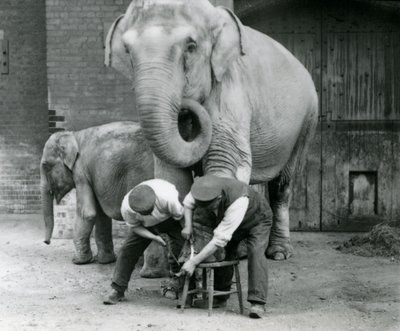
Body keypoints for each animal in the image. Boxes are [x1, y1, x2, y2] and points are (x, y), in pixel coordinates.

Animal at [40, 123, 153, 266]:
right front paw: (105, 260)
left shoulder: (81, 172)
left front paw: (78, 261)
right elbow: (101, 215)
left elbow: (88, 213)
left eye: (45, 166)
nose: (46, 242)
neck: (74, 135)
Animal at [104, 0, 318, 260]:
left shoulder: (230, 89)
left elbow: (224, 160)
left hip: (306, 123)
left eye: (191, 46)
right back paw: (242, 251)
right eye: (127, 50)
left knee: (282, 185)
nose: (185, 106)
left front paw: (206, 255)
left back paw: (278, 253)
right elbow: (172, 174)